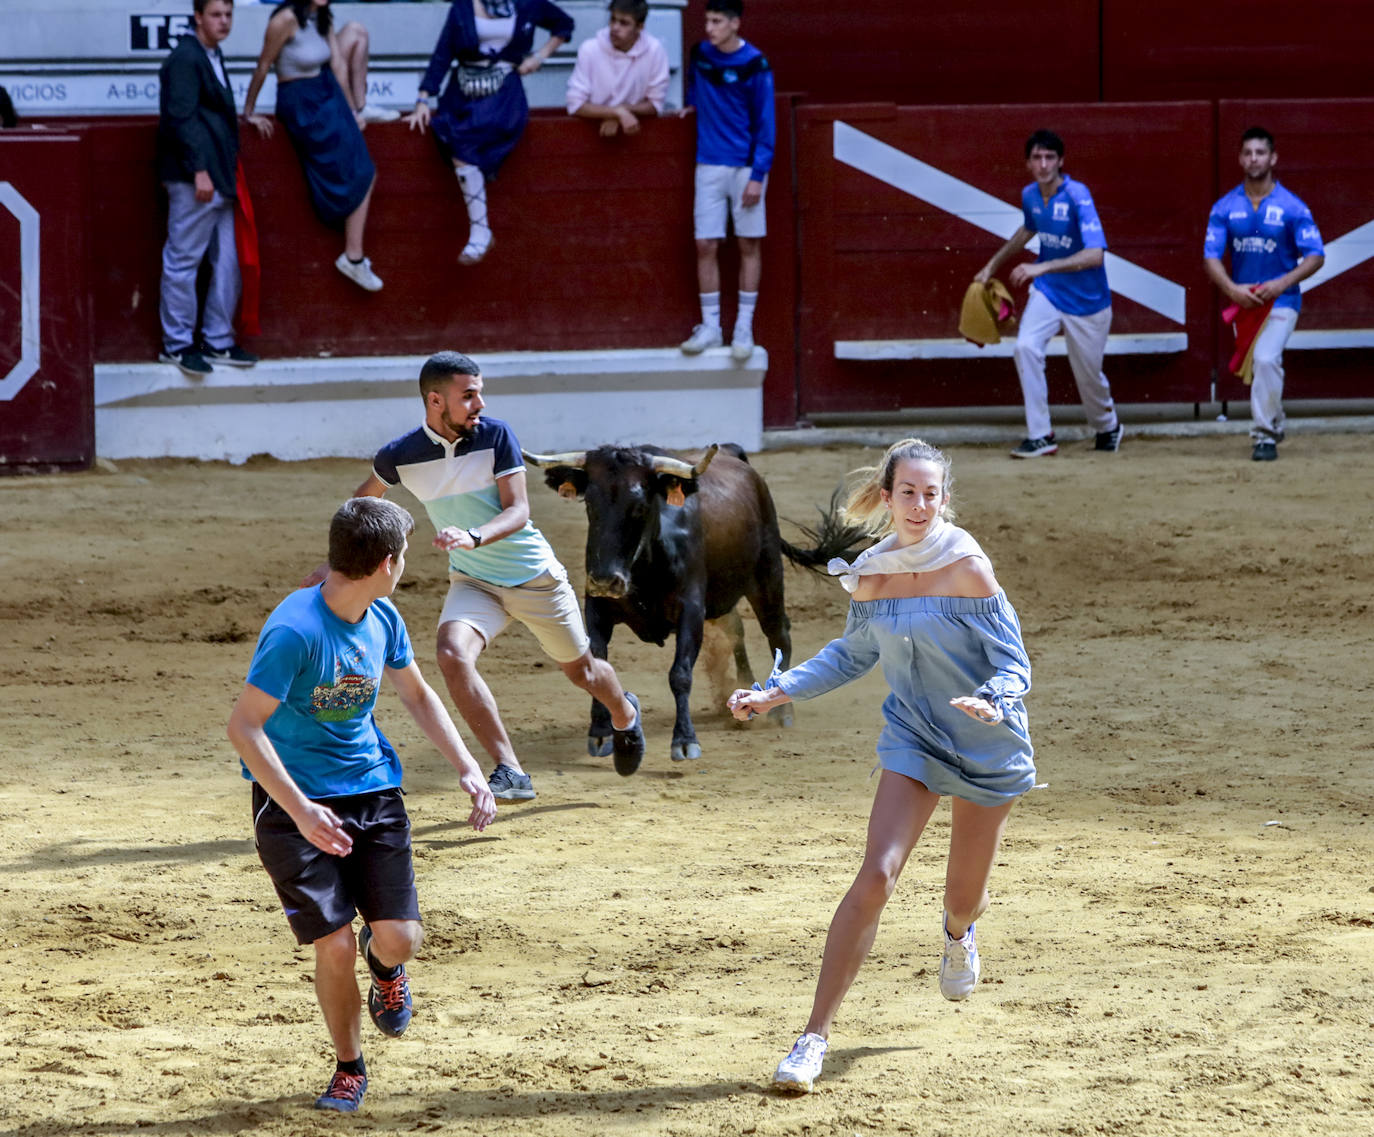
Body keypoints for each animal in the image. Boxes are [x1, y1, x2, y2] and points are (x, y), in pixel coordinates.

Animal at [524, 444, 857, 763]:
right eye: (590, 504)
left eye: (640, 507)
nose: (606, 580)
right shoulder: (597, 609)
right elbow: (596, 665)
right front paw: (600, 733)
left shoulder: (691, 611)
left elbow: (680, 674)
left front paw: (685, 741)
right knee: (736, 632)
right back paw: (742, 691)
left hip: (768, 576)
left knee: (778, 634)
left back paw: (781, 712)